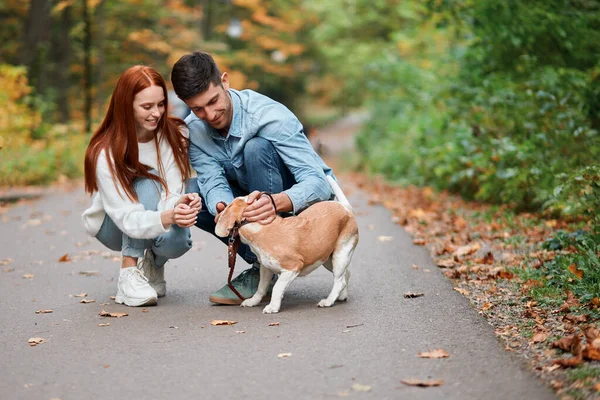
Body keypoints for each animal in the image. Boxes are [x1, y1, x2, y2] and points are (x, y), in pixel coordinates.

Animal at [214, 177, 358, 312]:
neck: (259, 227)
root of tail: (345, 208)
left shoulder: (292, 268)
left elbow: (277, 288)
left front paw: (273, 307)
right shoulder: (265, 268)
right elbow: (261, 287)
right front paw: (253, 301)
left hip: (340, 255)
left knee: (339, 281)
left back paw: (328, 301)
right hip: (327, 259)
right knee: (346, 275)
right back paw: (341, 296)